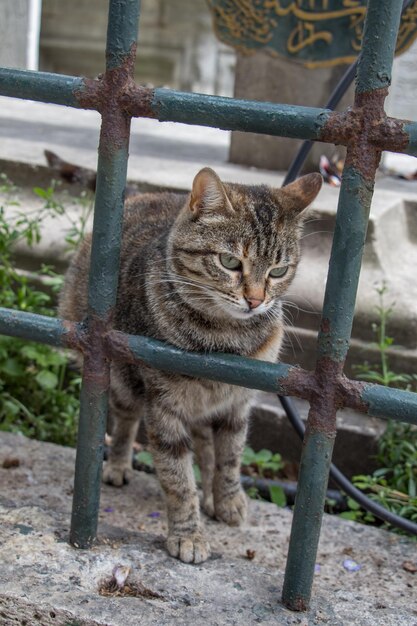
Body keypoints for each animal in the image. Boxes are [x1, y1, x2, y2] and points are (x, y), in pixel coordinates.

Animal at [58, 166, 320, 560]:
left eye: (278, 271)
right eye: (230, 262)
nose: (256, 300)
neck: (226, 339)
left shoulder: (237, 404)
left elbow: (229, 458)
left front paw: (226, 500)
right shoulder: (164, 407)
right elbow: (177, 478)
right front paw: (188, 534)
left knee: (206, 446)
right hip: (122, 381)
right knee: (125, 423)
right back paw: (118, 465)